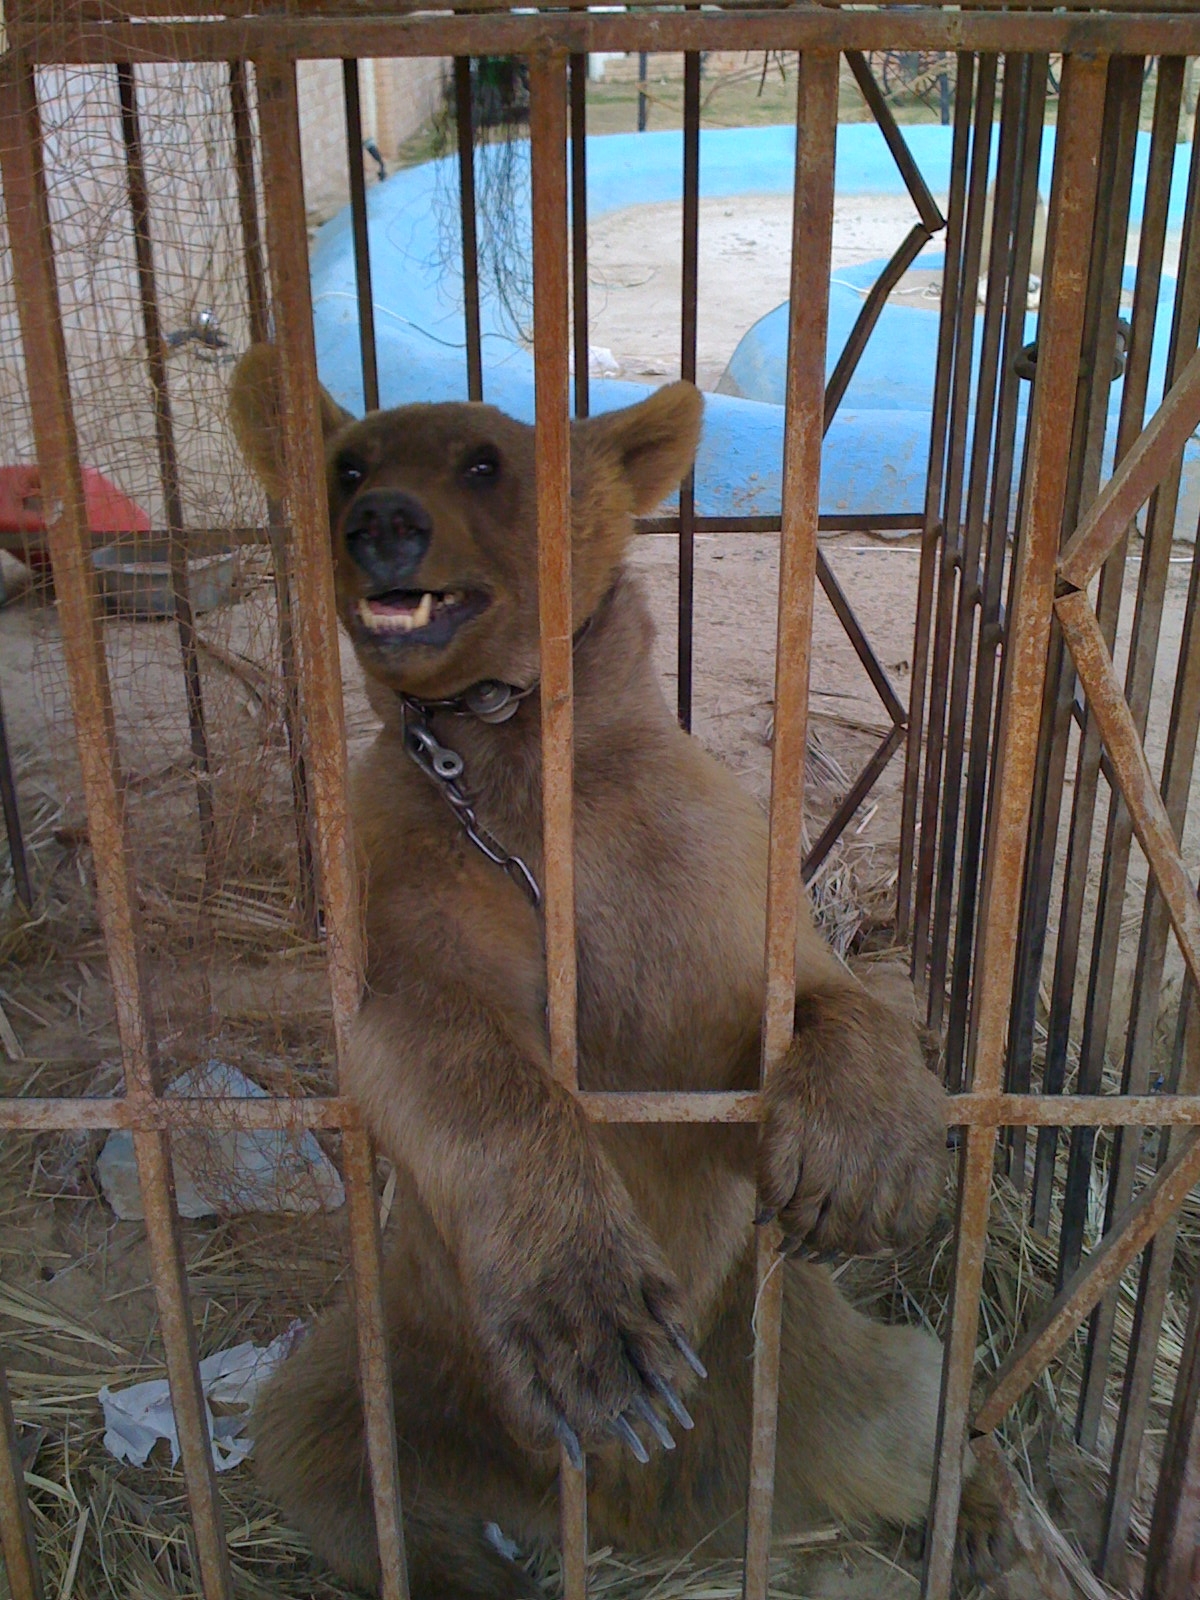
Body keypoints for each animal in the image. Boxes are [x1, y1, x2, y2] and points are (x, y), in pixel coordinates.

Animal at [229, 345, 1007, 1597]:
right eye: (348, 459)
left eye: (484, 461)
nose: (381, 521)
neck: (514, 758)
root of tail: (650, 1511)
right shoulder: (413, 874)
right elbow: (439, 1043)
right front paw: (596, 1328)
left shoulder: (690, 862)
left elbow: (798, 1002)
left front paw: (866, 1156)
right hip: (393, 1358)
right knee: (325, 1445)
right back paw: (470, 1555)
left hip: (791, 1348)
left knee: (912, 1399)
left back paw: (971, 1509)